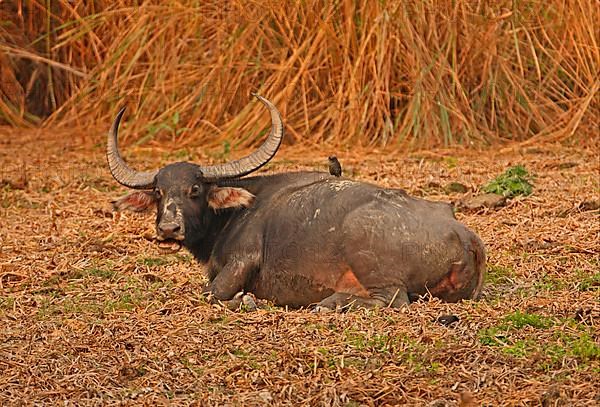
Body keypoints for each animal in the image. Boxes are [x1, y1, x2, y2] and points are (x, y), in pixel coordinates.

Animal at [106, 95, 482, 310]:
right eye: (159, 191)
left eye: (195, 189)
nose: (169, 228)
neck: (232, 214)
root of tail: (465, 237)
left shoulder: (242, 261)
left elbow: (211, 292)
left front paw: (245, 301)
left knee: (393, 299)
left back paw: (329, 303)